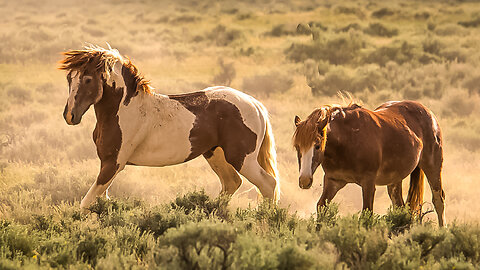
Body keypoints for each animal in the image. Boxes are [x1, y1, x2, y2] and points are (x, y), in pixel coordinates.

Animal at [59, 44, 280, 209]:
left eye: (88, 79)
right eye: (69, 78)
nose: (70, 116)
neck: (122, 110)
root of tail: (255, 104)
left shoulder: (113, 164)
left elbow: (86, 203)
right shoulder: (106, 164)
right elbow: (100, 203)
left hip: (242, 158)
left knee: (268, 184)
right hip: (215, 154)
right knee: (232, 183)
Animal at [292, 100, 446, 226]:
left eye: (317, 145)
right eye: (297, 147)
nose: (304, 180)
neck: (348, 140)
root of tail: (429, 114)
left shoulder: (368, 183)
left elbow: (367, 214)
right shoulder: (333, 181)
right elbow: (321, 207)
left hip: (433, 167)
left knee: (438, 200)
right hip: (394, 180)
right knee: (400, 207)